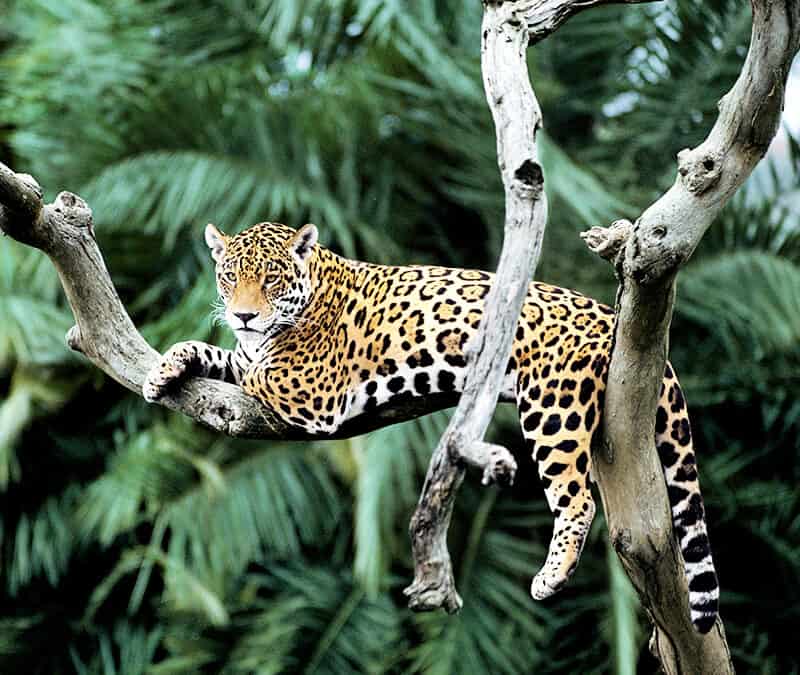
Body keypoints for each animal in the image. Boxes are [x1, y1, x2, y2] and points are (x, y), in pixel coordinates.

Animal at [143, 221, 720, 633]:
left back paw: (550, 577)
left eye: (272, 279)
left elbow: (253, 368)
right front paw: (164, 368)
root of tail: (609, 314)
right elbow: (221, 354)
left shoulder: (309, 388)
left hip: (552, 407)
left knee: (576, 498)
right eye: (229, 278)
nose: (244, 315)